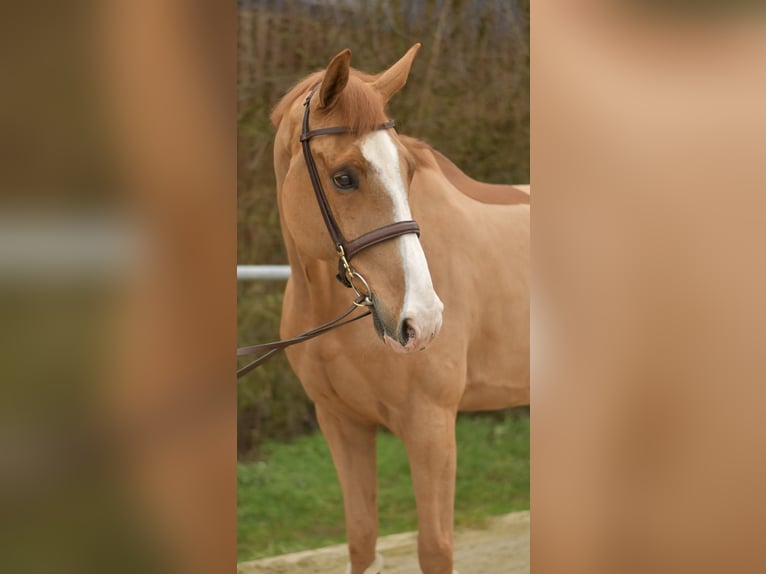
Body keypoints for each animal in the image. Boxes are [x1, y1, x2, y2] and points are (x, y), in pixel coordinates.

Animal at [268, 44, 529, 574]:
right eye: (344, 177)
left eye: (407, 170)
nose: (422, 321)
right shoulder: (342, 425)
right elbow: (362, 540)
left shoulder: (430, 425)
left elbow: (435, 547)